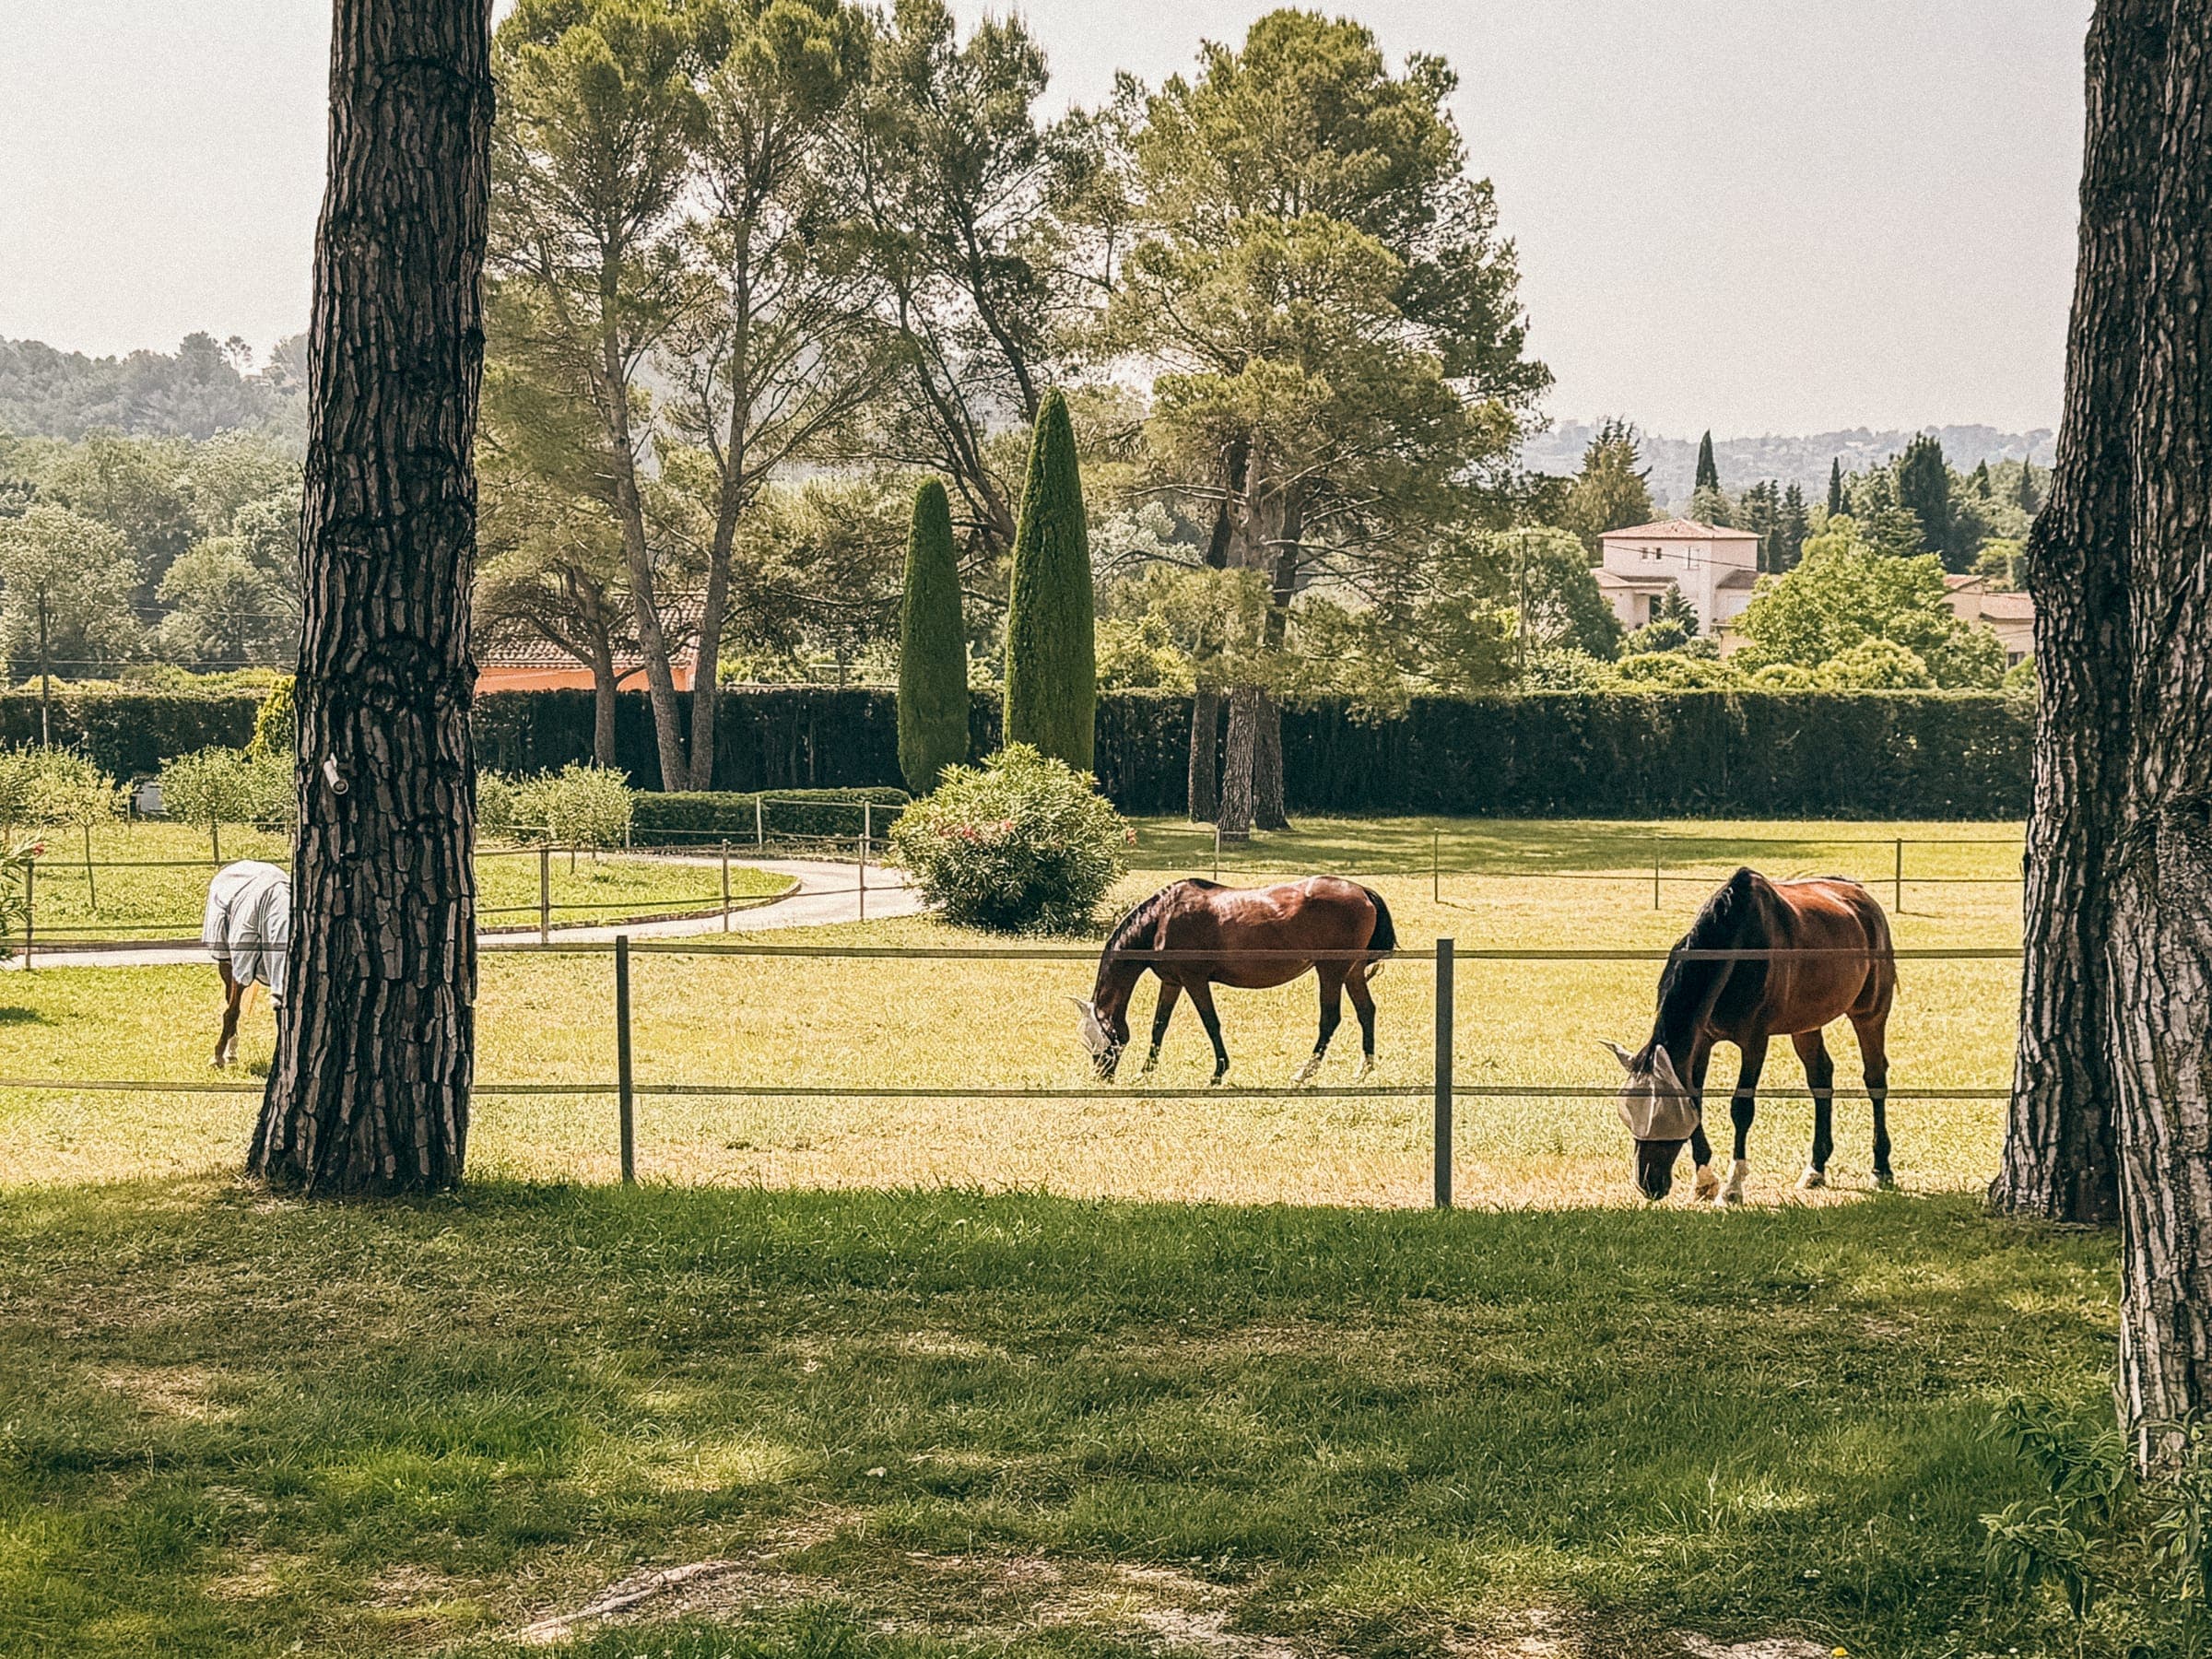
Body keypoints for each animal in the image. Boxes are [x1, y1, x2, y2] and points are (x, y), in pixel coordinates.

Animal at [204, 860, 291, 1068]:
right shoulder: (242, 965)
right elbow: (231, 1012)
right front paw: (217, 1057)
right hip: (227, 963)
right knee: (230, 1003)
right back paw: (229, 1052)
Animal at [1072, 877, 1396, 1084]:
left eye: (1099, 1035)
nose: (1101, 1077)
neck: (1162, 918)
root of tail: (1362, 891)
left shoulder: (1194, 981)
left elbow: (1210, 1023)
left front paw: (1218, 1072)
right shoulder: (1173, 982)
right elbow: (1159, 1026)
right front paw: (1145, 1072)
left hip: (1331, 971)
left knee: (1330, 1018)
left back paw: (1305, 1072)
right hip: (1352, 971)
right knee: (1366, 1011)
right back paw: (1363, 1069)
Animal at [1605, 866, 1896, 1205]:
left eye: (1663, 1115)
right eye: (1629, 1114)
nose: (1648, 1183)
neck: (1739, 943)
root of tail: (1863, 899)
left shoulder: (1755, 1042)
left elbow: (1741, 1108)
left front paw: (1733, 1187)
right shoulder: (1703, 1041)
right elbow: (1696, 1097)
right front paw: (1704, 1180)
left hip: (1870, 1015)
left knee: (1875, 1079)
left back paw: (1881, 1169)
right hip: (1806, 1026)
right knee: (1821, 1078)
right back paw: (1815, 1168)